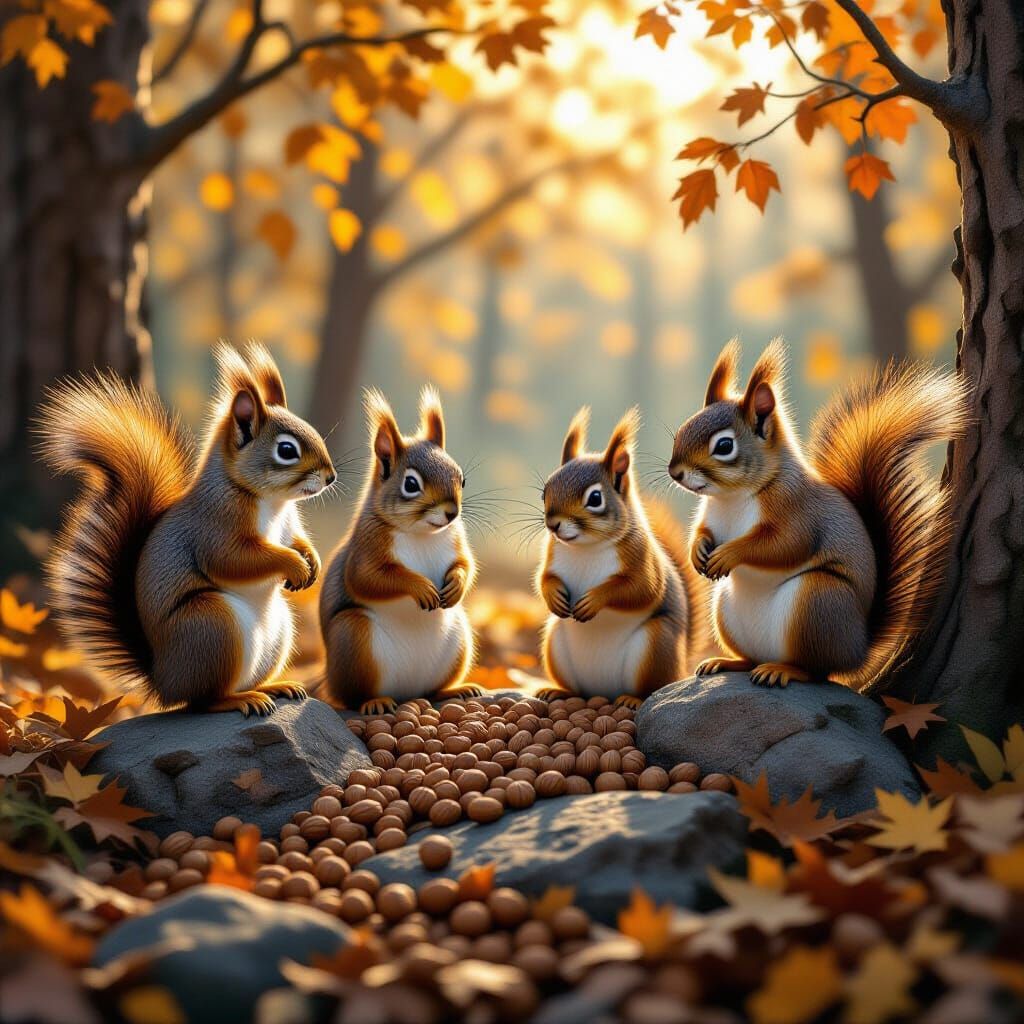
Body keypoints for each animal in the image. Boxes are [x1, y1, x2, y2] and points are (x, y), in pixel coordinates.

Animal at [37, 343, 336, 716]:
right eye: (286, 450)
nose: (331, 477)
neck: (273, 501)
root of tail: (163, 680)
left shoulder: (288, 525)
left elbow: (296, 540)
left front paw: (313, 561)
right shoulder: (216, 524)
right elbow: (233, 559)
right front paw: (293, 564)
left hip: (278, 630)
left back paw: (275, 687)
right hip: (211, 626)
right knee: (202, 701)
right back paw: (240, 699)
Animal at [319, 386, 481, 716]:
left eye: (461, 477)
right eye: (411, 484)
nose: (452, 513)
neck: (422, 534)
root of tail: (407, 692)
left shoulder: (455, 539)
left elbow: (465, 564)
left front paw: (456, 585)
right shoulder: (367, 546)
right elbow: (368, 578)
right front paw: (421, 587)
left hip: (459, 639)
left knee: (432, 689)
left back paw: (455, 690)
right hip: (352, 637)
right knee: (353, 697)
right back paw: (375, 702)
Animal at [536, 408, 703, 709]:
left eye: (595, 498)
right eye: (546, 491)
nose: (553, 524)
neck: (586, 548)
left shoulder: (641, 560)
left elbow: (639, 589)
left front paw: (593, 600)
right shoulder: (553, 554)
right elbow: (545, 578)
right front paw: (553, 596)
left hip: (655, 645)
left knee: (649, 688)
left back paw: (633, 700)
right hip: (554, 643)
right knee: (577, 690)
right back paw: (559, 692)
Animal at [668, 338, 968, 690]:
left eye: (724, 446)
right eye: (683, 429)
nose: (675, 472)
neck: (732, 496)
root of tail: (858, 647)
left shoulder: (797, 511)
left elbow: (784, 545)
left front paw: (728, 554)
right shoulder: (712, 515)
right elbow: (703, 532)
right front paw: (698, 551)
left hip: (818, 602)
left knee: (818, 671)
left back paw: (783, 671)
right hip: (726, 609)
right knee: (753, 658)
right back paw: (728, 662)